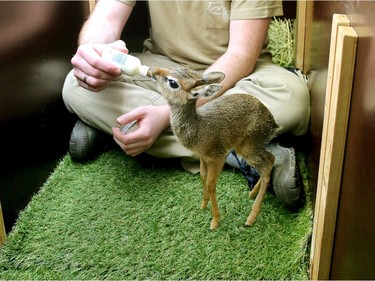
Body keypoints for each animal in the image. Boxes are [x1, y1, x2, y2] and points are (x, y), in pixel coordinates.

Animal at [147, 66, 280, 229]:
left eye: (173, 82)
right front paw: (203, 206)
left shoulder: (218, 157)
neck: (198, 127)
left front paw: (215, 221)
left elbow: (211, 184)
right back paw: (252, 194)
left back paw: (251, 218)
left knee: (267, 164)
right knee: (271, 159)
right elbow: (203, 176)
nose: (151, 70)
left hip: (248, 148)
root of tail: (273, 123)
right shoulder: (203, 157)